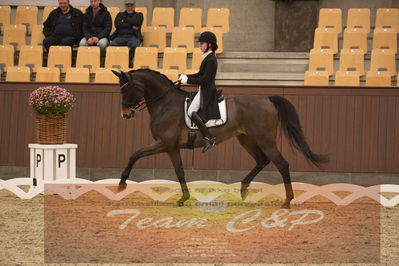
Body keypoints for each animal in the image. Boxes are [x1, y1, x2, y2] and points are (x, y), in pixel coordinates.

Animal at [110, 69, 328, 209]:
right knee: (262, 160)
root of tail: (267, 98)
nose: (125, 115)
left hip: (265, 139)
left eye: (125, 89)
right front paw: (184, 198)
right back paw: (243, 190)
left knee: (281, 164)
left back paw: (286, 201)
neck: (165, 103)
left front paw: (121, 185)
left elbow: (134, 154)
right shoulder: (172, 148)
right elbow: (179, 172)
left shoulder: (164, 144)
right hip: (246, 139)